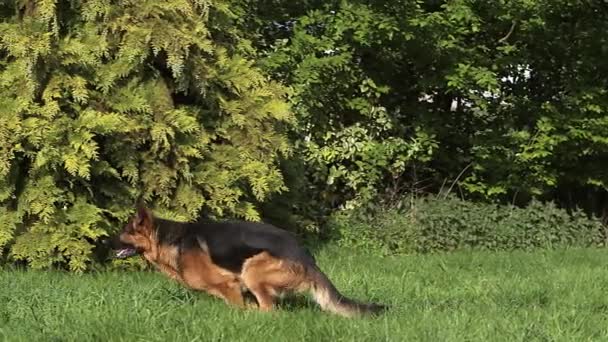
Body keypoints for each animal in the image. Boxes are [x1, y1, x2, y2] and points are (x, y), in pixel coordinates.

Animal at [114, 206, 384, 318]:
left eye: (124, 231)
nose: (106, 243)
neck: (170, 240)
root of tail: (307, 257)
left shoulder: (230, 285)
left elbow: (238, 306)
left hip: (252, 270)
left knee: (269, 310)